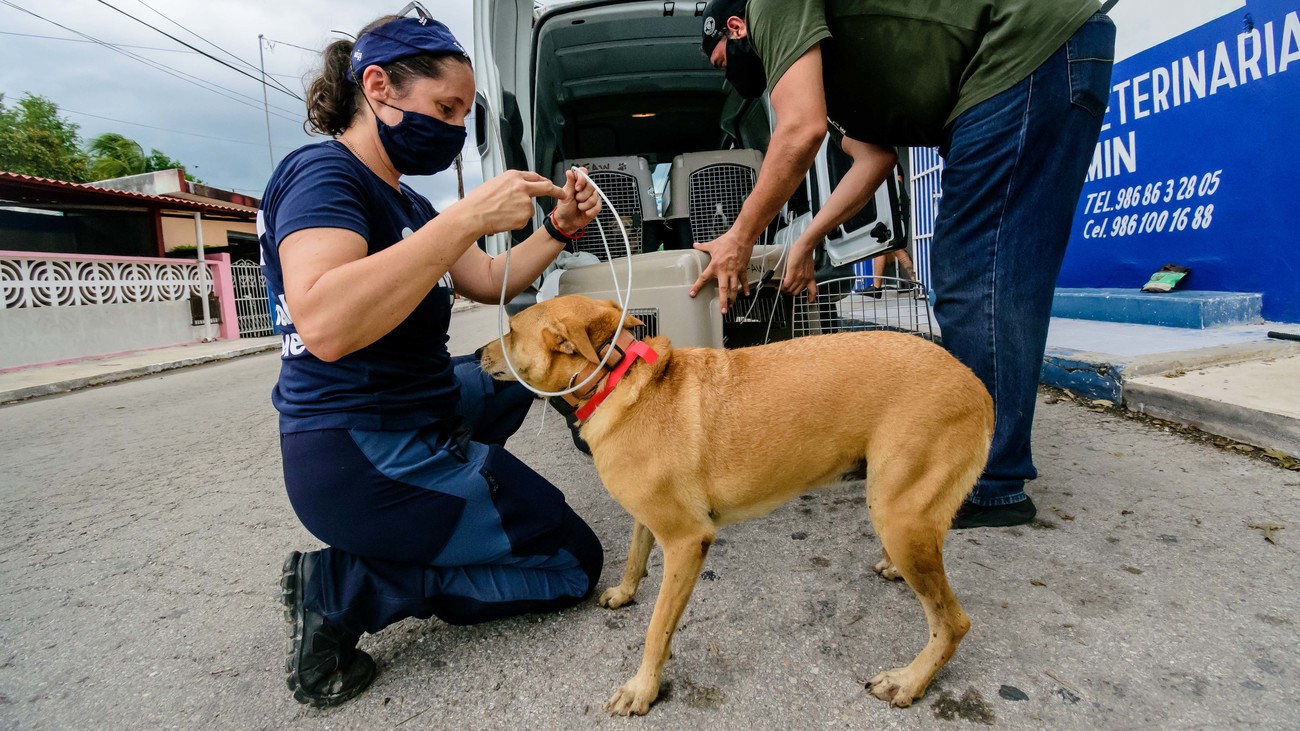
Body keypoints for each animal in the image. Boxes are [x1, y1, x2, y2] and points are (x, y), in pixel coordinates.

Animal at [480, 292, 993, 712]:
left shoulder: (687, 541)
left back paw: (910, 680)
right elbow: (635, 554)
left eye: (511, 331)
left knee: (954, 623)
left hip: (900, 519)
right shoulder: (651, 518)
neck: (617, 379)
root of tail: (976, 383)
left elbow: (657, 629)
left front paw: (643, 688)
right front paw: (625, 593)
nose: (474, 354)